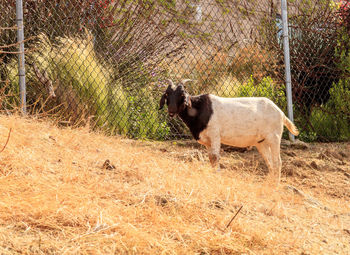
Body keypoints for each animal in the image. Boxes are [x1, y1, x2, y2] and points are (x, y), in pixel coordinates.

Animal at [160, 79, 300, 183]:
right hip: (262, 143)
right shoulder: (207, 142)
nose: (171, 111)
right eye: (167, 94)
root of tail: (281, 113)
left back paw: (275, 185)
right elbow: (211, 158)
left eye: (182, 95)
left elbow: (215, 157)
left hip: (274, 138)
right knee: (269, 163)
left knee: (277, 162)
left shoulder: (215, 135)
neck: (200, 109)